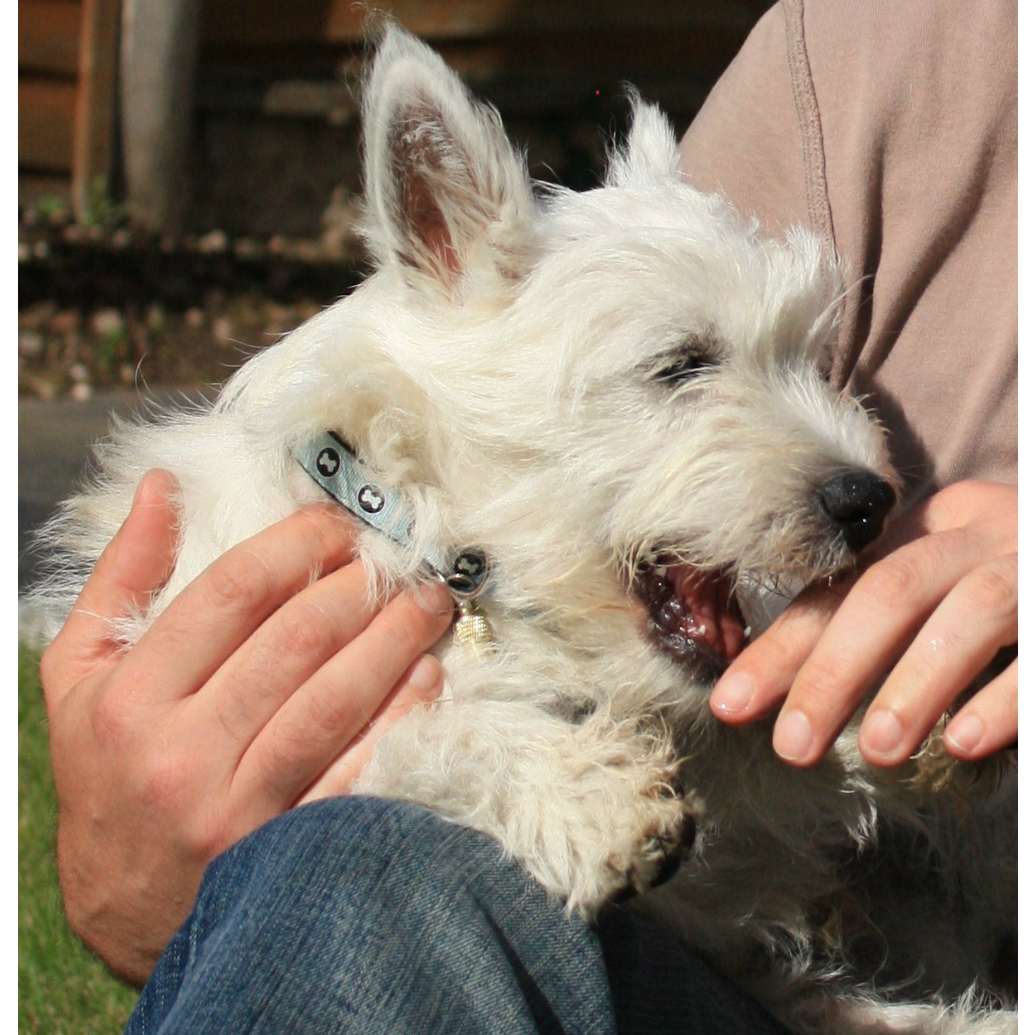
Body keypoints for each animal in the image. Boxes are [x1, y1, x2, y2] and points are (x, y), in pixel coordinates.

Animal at [30, 24, 1010, 1035]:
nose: (868, 500)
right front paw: (585, 792)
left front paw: (898, 681)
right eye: (680, 365)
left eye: (814, 360)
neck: (435, 541)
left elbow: (765, 729)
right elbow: (415, 732)